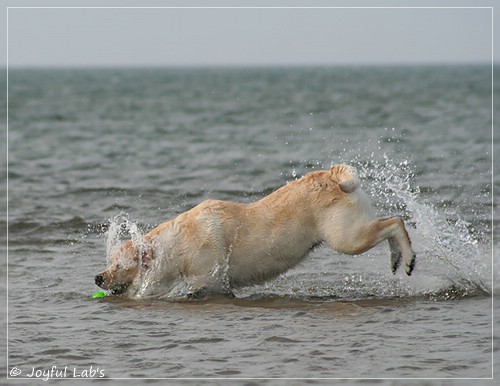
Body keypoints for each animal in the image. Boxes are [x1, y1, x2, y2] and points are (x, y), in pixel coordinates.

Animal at [94, 164, 414, 298]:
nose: (98, 277)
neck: (175, 246)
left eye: (118, 266)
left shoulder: (207, 281)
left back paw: (408, 257)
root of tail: (332, 175)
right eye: (109, 263)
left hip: (346, 237)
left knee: (396, 222)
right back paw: (397, 258)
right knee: (390, 221)